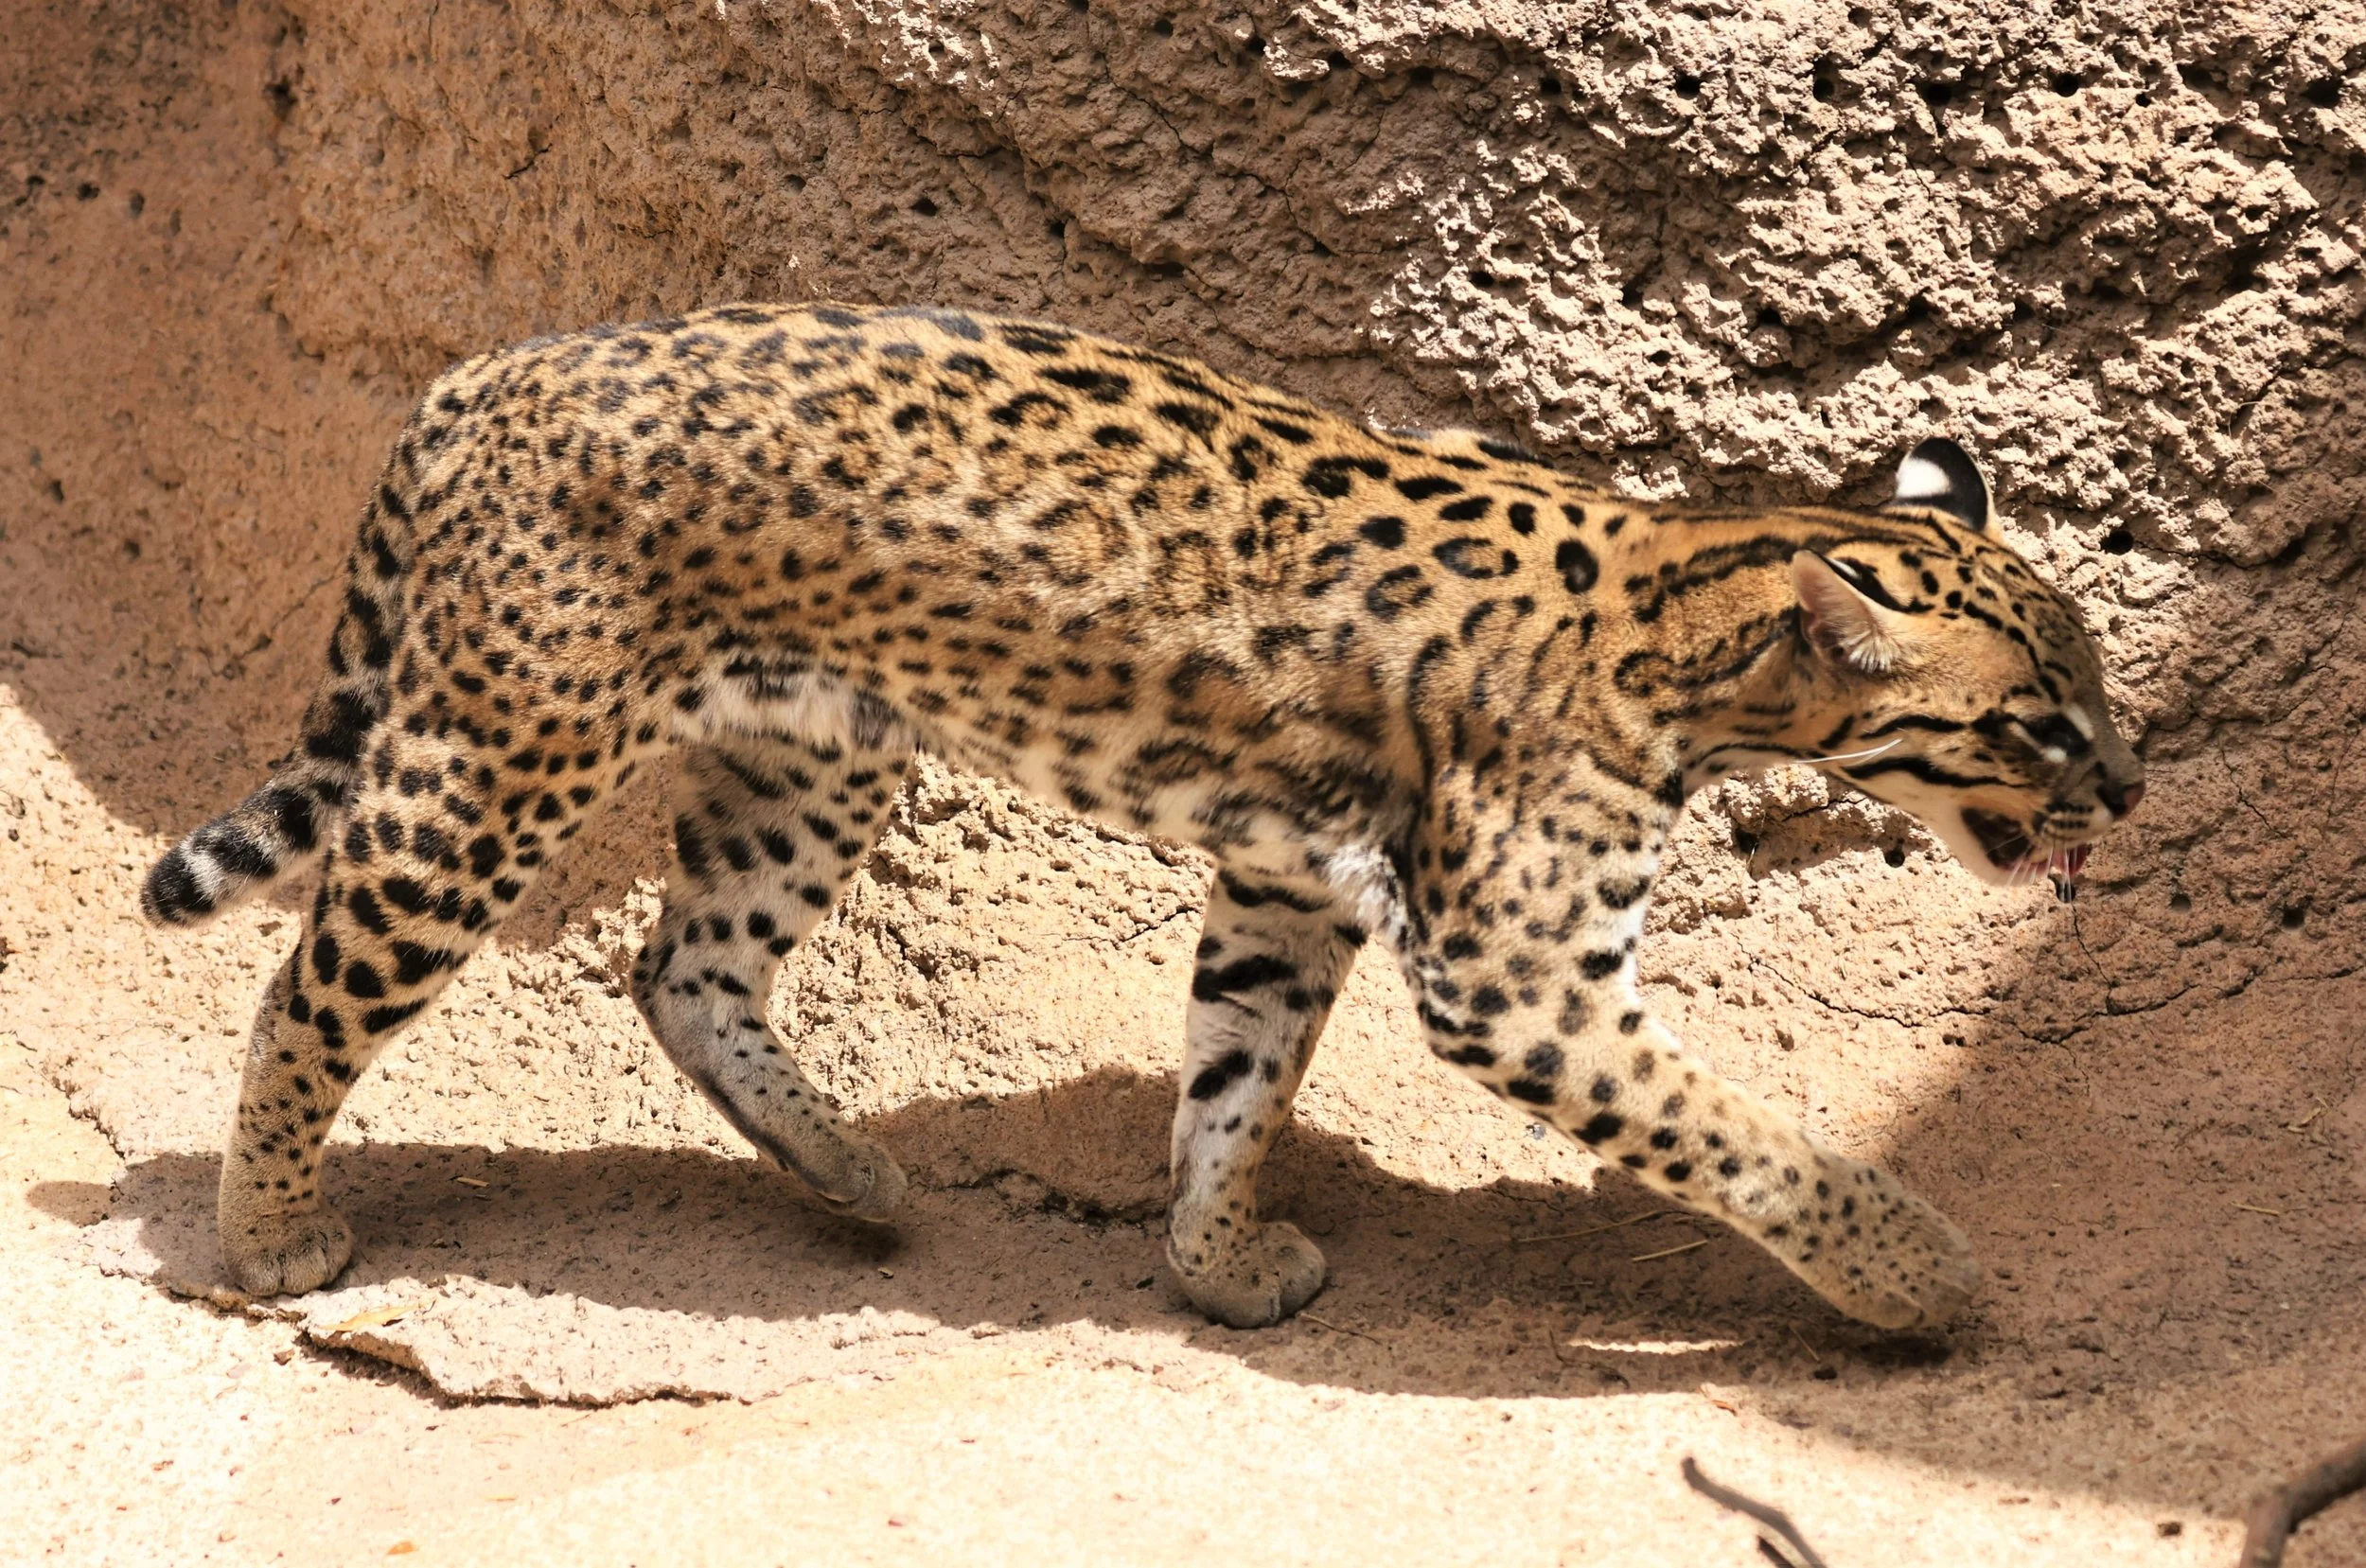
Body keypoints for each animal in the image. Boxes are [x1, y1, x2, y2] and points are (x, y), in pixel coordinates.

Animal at [141, 302, 2145, 1331]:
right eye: (2037, 721)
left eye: (2101, 689)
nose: (2129, 785)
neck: (1688, 602)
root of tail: (486, 373)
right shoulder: (1518, 979)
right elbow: (1730, 1132)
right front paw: (1917, 1272)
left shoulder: (1287, 883)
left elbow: (1239, 1075)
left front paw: (1215, 1257)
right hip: (491, 760)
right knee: (304, 992)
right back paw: (271, 1236)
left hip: (822, 748)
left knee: (684, 963)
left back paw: (851, 1173)